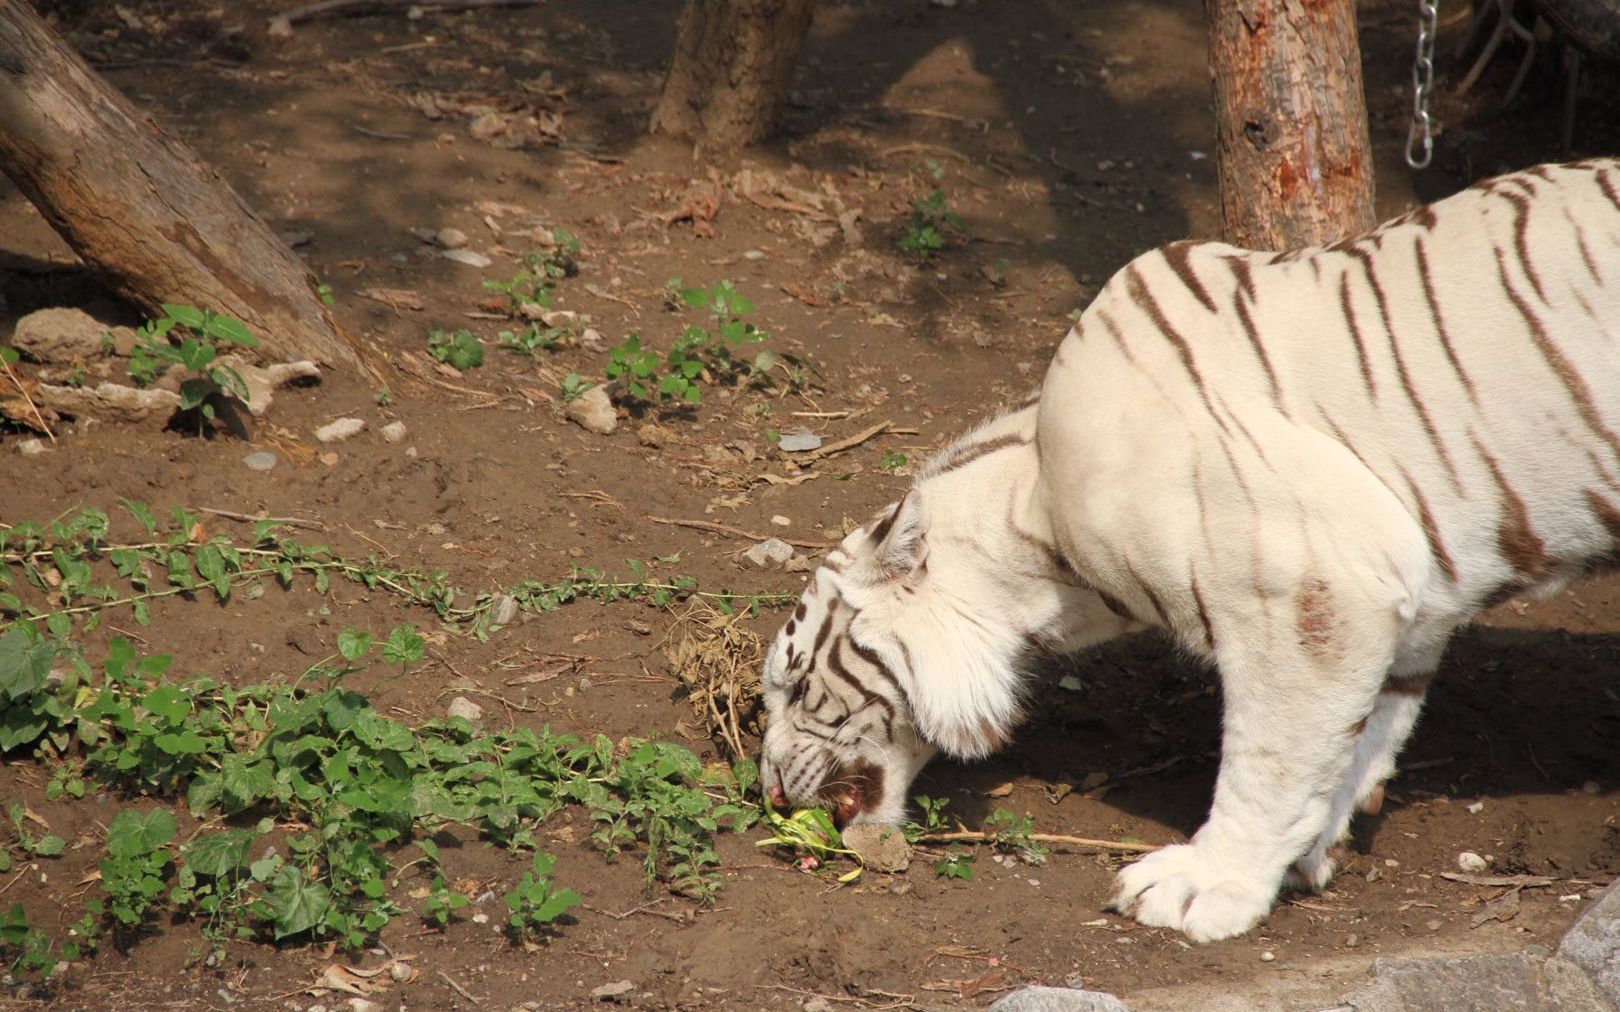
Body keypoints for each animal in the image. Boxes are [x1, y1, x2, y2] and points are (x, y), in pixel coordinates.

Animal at [754, 157, 1620, 939]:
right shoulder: (1406, 599)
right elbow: (1364, 735)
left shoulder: (1311, 589)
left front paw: (1206, 887)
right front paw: (1308, 849)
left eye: (794, 686)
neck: (1042, 542)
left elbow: (1270, 758)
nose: (768, 791)